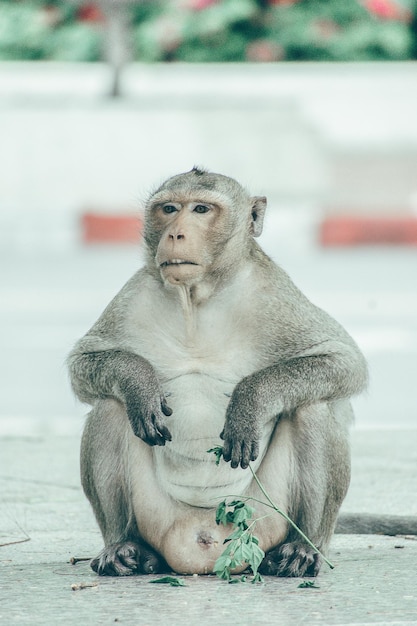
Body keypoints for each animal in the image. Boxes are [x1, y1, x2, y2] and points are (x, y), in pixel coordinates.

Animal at [67, 166, 410, 576]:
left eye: (201, 209)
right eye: (169, 208)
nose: (175, 234)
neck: (196, 297)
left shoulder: (274, 293)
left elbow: (343, 360)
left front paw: (250, 402)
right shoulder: (135, 293)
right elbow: (83, 364)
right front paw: (139, 383)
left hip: (262, 520)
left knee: (311, 407)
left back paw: (303, 548)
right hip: (159, 518)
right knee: (110, 407)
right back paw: (126, 547)